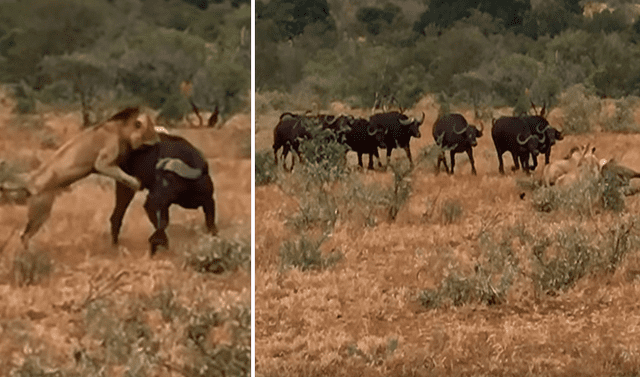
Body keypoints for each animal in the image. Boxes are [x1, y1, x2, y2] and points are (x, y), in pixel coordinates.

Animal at [17, 106, 160, 247]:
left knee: (24, 235)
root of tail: (29, 184)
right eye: (151, 130)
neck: (121, 130)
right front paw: (137, 183)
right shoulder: (102, 163)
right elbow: (121, 175)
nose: (157, 140)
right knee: (25, 235)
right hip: (41, 210)